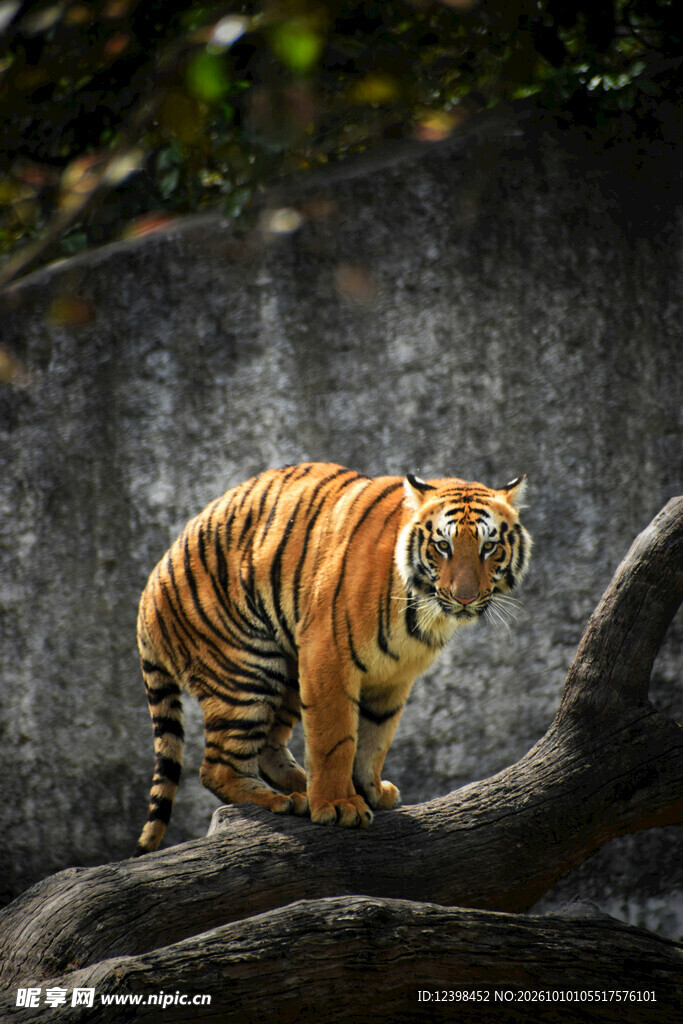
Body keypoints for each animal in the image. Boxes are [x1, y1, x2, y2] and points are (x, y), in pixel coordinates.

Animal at [134, 462, 531, 855]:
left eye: (489, 547)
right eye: (443, 546)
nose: (464, 598)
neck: (423, 610)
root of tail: (147, 593)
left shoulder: (393, 677)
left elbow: (376, 737)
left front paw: (370, 791)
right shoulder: (328, 657)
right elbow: (335, 739)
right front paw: (339, 805)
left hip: (287, 672)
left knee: (266, 749)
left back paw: (301, 787)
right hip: (245, 671)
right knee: (217, 768)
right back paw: (285, 800)